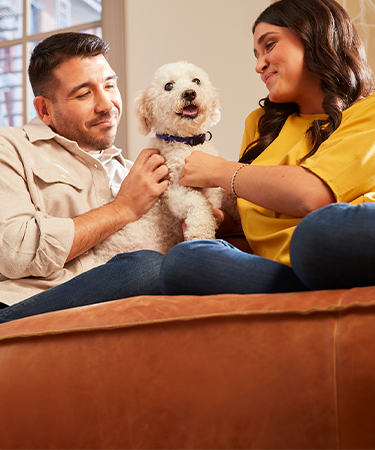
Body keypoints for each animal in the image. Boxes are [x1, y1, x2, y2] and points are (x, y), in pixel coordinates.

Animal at [94, 59, 238, 264]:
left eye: (196, 80)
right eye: (168, 86)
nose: (189, 93)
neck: (186, 142)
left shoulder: (216, 185)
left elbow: (231, 195)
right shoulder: (174, 191)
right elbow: (197, 203)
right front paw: (199, 234)